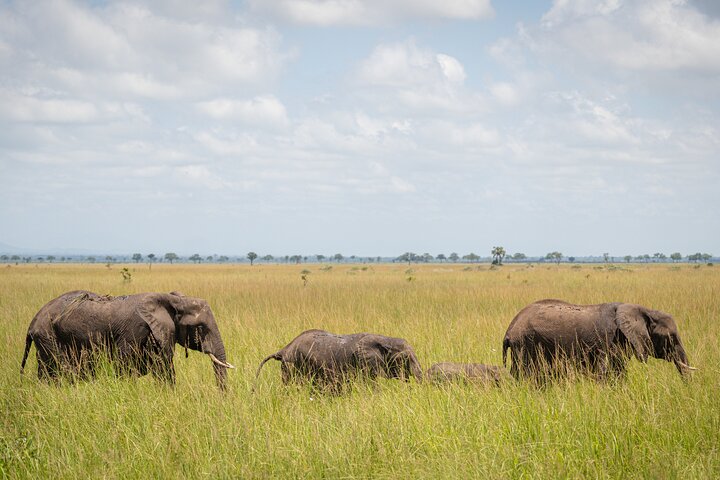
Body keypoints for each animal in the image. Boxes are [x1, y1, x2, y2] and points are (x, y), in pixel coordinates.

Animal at [20, 290, 234, 390]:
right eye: (200, 328)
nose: (221, 398)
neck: (171, 299)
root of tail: (31, 323)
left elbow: (164, 370)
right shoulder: (134, 331)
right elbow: (126, 369)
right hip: (49, 337)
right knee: (60, 371)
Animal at [502, 299, 696, 381]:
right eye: (670, 337)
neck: (642, 309)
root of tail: (509, 330)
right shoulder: (610, 342)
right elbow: (613, 371)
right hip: (526, 344)